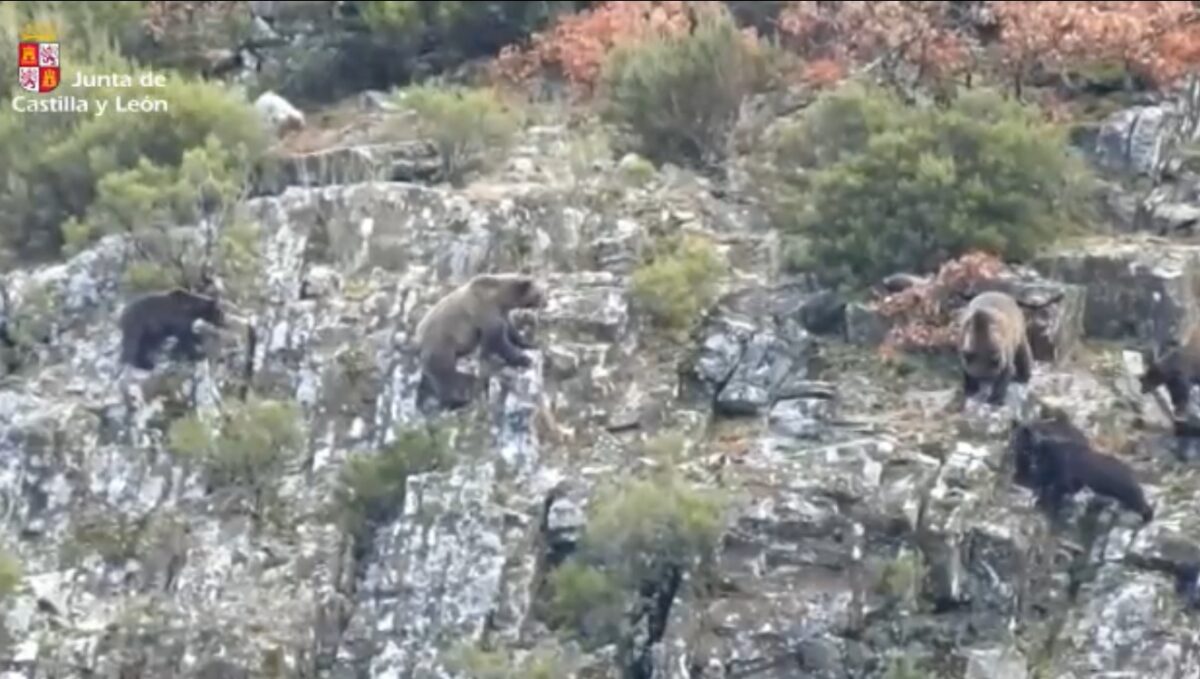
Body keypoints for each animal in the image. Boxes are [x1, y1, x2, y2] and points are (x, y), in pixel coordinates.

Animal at [412, 272, 544, 410]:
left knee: (431, 378)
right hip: (440, 346)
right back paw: (457, 401)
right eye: (539, 293)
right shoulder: (484, 312)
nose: (544, 301)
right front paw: (523, 359)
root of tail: (417, 340)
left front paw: (530, 344)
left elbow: (510, 331)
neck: (499, 298)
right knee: (447, 375)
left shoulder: (501, 314)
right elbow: (497, 340)